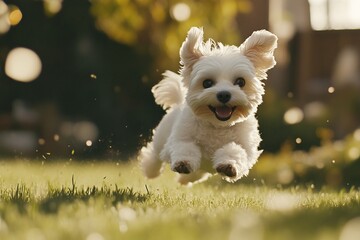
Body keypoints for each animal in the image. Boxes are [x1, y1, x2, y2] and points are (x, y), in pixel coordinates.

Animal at [139, 26, 278, 184]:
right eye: (207, 83)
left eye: (240, 81)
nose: (224, 94)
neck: (218, 125)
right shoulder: (179, 139)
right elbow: (185, 147)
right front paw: (183, 162)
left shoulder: (246, 149)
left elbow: (235, 151)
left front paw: (228, 165)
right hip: (161, 139)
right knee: (154, 155)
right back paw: (151, 170)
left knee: (195, 174)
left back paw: (184, 179)